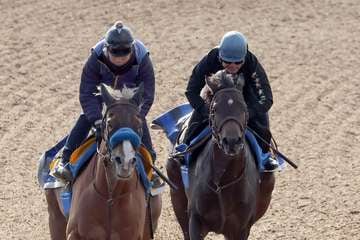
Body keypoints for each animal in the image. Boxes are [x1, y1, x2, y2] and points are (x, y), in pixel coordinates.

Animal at [44, 83, 162, 239]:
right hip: (55, 217)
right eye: (110, 124)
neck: (110, 197)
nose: (125, 162)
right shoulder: (74, 233)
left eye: (139, 124)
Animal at [167, 71, 276, 240]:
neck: (222, 180)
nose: (231, 141)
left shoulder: (240, 228)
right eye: (215, 109)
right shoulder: (195, 220)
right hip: (177, 196)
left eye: (243, 107)